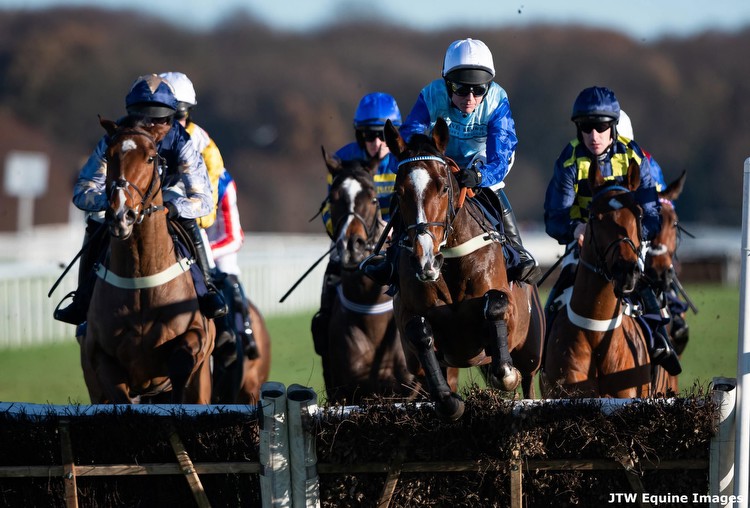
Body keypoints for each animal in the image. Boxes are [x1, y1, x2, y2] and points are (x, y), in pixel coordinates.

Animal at [80, 118, 214, 404]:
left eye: (151, 158)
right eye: (109, 156)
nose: (122, 215)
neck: (141, 280)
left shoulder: (195, 334)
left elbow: (180, 362)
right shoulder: (101, 358)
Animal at [384, 119, 544, 420]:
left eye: (443, 188)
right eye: (398, 192)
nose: (425, 258)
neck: (449, 263)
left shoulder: (507, 308)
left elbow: (496, 305)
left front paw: (506, 375)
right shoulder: (410, 323)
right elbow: (419, 331)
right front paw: (449, 401)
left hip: (531, 350)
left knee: (528, 382)